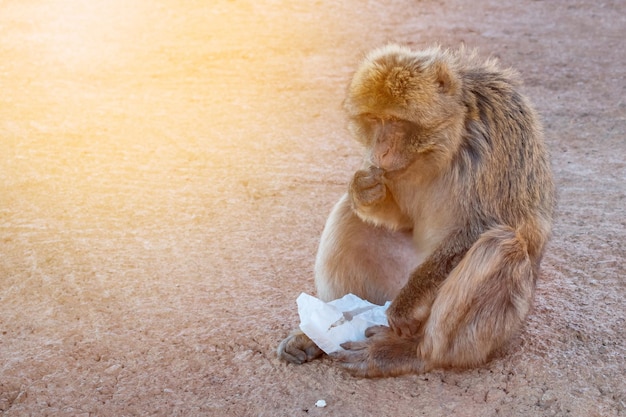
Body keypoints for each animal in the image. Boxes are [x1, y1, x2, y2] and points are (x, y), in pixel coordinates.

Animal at [276, 44, 552, 376]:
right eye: (374, 119)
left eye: (396, 121)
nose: (380, 150)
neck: (450, 139)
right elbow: (399, 218)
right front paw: (365, 192)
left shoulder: (499, 129)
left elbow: (484, 226)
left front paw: (406, 307)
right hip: (389, 282)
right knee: (349, 215)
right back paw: (324, 328)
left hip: (501, 328)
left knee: (502, 243)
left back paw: (413, 353)